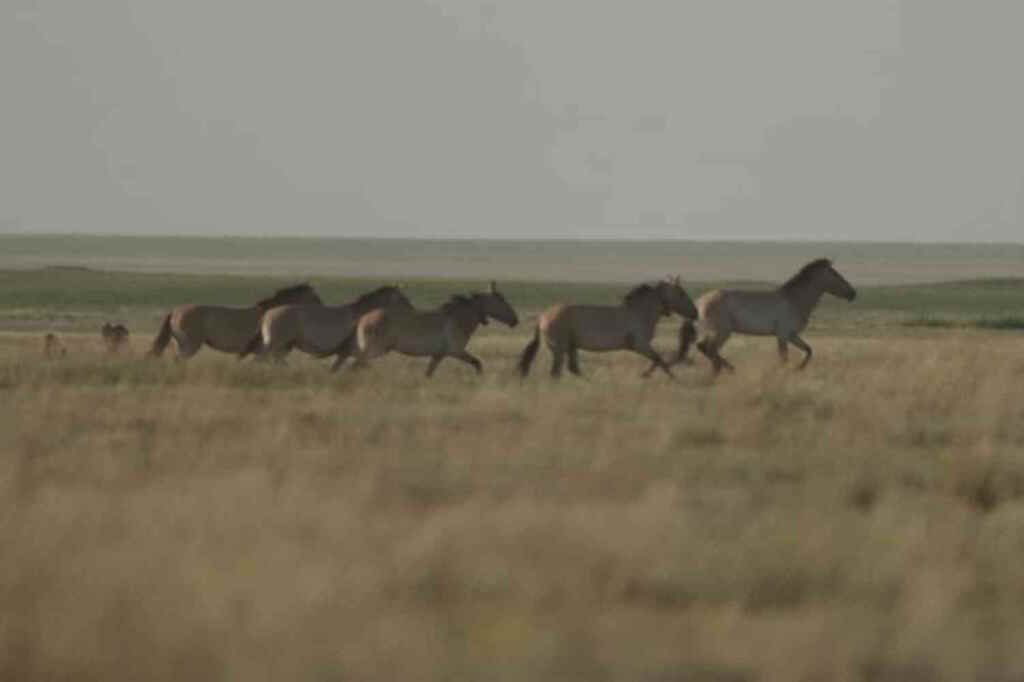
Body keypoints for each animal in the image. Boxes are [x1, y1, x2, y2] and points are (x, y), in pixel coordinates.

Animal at [243, 285, 413, 364]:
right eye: (403, 299)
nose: (413, 310)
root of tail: (267, 314)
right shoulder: (352, 351)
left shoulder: (345, 353)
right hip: (276, 344)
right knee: (262, 359)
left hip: (283, 346)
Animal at [342, 282, 518, 376]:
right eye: (502, 300)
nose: (515, 320)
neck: (458, 318)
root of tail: (363, 318)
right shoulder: (456, 352)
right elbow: (477, 363)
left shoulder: (438, 355)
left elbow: (428, 374)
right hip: (375, 350)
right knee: (355, 365)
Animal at [518, 276, 698, 380]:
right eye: (681, 293)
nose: (695, 313)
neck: (640, 312)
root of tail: (542, 316)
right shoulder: (640, 345)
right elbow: (659, 360)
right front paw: (668, 378)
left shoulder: (641, 346)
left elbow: (658, 360)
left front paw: (646, 375)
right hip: (559, 348)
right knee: (556, 372)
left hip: (571, 346)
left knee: (573, 369)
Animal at [672, 258, 856, 373]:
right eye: (835, 275)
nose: (852, 293)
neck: (794, 300)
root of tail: (698, 302)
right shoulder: (783, 335)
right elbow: (784, 358)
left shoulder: (791, 335)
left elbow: (809, 351)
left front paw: (798, 369)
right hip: (722, 332)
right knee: (708, 349)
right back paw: (727, 369)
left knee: (706, 349)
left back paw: (722, 370)